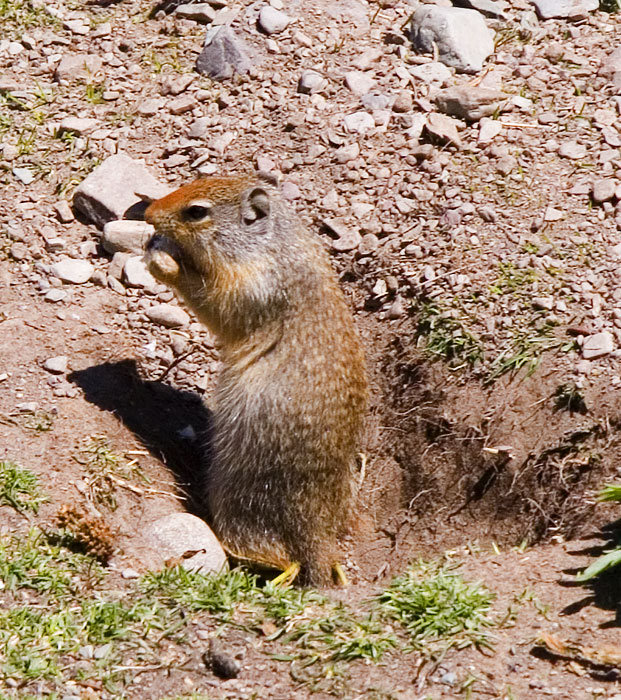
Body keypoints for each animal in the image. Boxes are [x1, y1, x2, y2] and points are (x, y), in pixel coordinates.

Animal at [144, 175, 368, 584]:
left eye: (196, 211)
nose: (149, 215)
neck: (273, 246)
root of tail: (318, 537)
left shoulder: (252, 289)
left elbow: (214, 303)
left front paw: (162, 259)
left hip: (240, 495)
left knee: (284, 559)